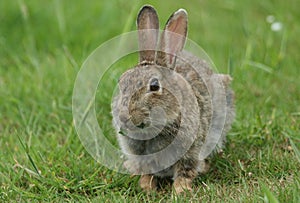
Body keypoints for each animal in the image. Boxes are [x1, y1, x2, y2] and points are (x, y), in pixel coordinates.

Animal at [111, 5, 236, 193]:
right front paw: (147, 187)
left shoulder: (190, 151)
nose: (125, 118)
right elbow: (146, 172)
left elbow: (185, 171)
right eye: (121, 81)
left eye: (154, 86)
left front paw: (180, 191)